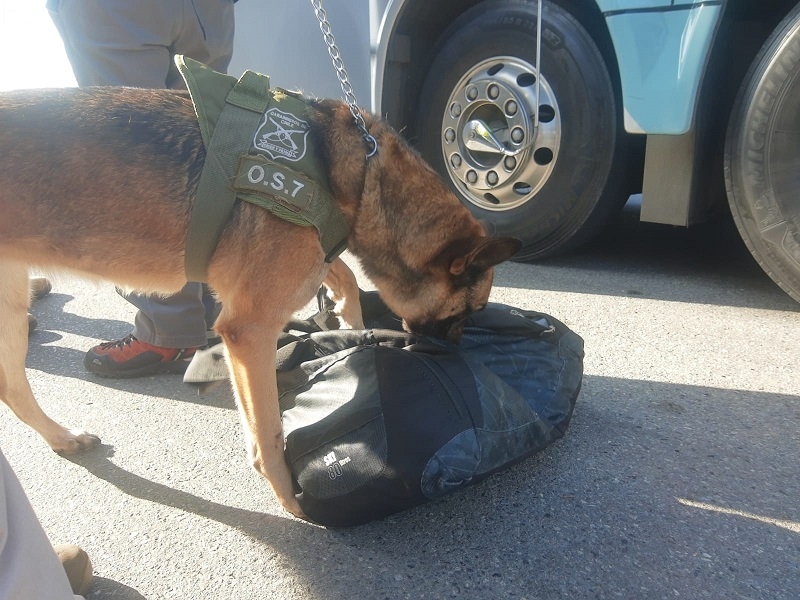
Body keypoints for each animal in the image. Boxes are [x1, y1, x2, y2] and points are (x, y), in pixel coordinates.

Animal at [0, 85, 520, 520]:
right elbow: (267, 433)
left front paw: (348, 317)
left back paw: (62, 438)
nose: (453, 357)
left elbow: (345, 274)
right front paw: (290, 498)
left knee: (13, 388)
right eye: (465, 313)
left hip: (12, 308)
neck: (352, 174)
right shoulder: (250, 330)